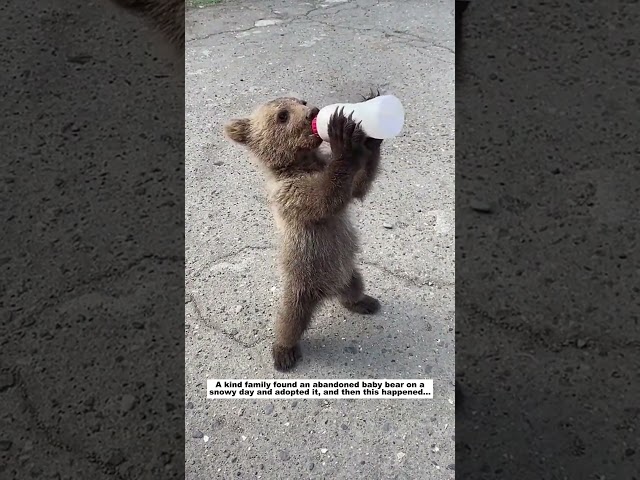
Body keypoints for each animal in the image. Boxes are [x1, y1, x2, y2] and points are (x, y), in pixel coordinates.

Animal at [224, 92, 384, 371]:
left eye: (302, 101)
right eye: (282, 115)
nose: (313, 112)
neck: (303, 162)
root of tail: (326, 291)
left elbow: (357, 186)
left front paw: (370, 133)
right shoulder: (290, 194)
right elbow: (324, 197)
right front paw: (342, 140)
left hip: (347, 269)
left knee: (354, 287)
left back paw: (364, 302)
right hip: (303, 279)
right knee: (290, 319)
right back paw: (284, 353)